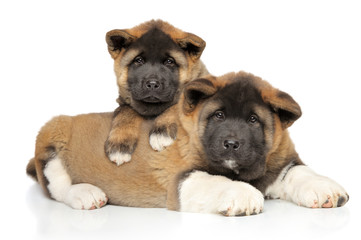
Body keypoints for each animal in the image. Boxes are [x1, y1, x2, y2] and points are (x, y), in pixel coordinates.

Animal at [26, 71, 348, 216]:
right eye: (218, 115)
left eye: (253, 120)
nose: (231, 143)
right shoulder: (181, 180)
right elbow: (216, 181)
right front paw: (244, 195)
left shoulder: (278, 162)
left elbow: (298, 172)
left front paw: (325, 188)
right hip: (52, 137)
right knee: (58, 188)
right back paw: (86, 194)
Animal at [104, 20, 207, 165]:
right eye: (138, 60)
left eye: (169, 62)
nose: (152, 84)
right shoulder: (124, 101)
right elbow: (125, 112)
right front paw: (119, 144)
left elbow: (174, 107)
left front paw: (161, 132)